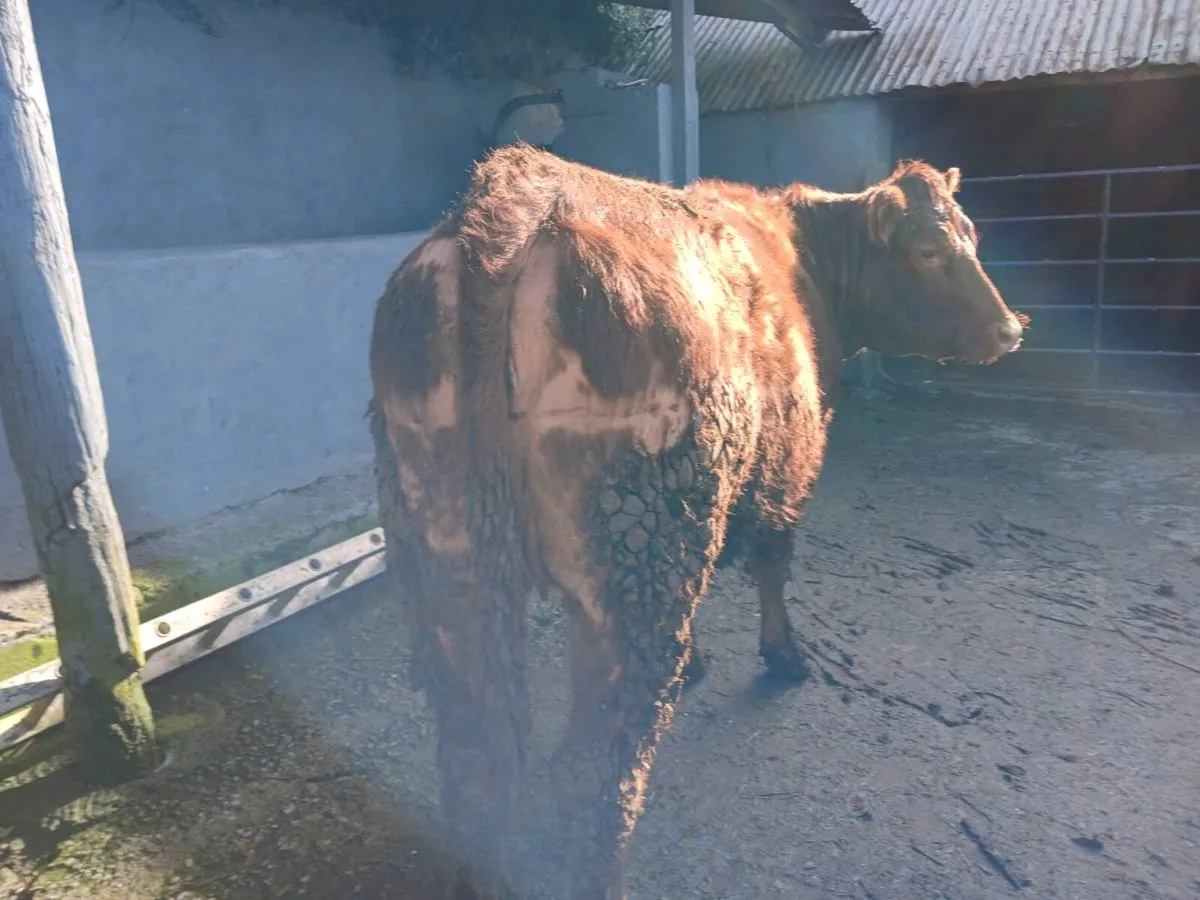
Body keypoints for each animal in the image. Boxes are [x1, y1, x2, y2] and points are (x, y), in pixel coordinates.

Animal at [367, 144, 1023, 900]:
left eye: (973, 236)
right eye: (927, 251)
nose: (1010, 329)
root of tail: (514, 197)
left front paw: (705, 659)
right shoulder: (791, 463)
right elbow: (773, 563)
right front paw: (785, 656)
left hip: (447, 554)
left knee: (479, 760)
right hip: (634, 560)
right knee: (594, 771)